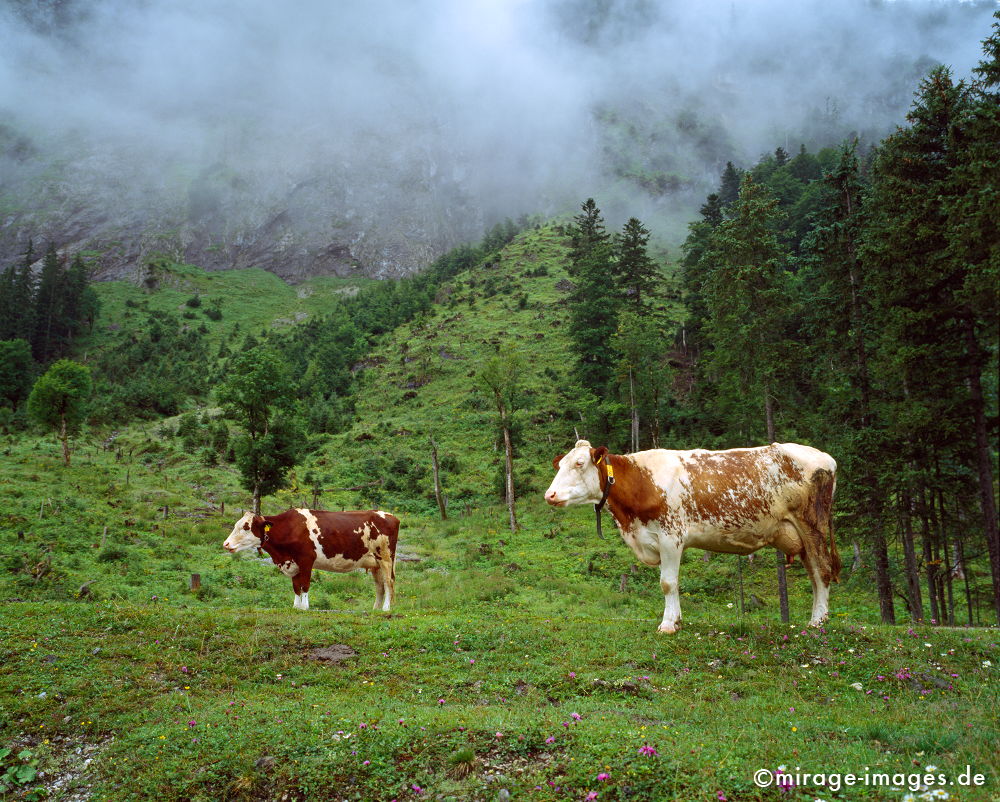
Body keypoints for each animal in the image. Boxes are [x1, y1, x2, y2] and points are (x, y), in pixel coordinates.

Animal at [222, 508, 399, 611]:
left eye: (246, 527)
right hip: (375, 563)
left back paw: (386, 608)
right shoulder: (292, 563)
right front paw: (296, 606)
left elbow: (305, 585)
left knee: (388, 582)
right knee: (379, 586)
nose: (226, 544)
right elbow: (296, 587)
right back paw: (375, 609)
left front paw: (305, 607)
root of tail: (389, 515)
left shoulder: (306, 560)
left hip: (386, 558)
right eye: (236, 525)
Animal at [544, 440, 839, 633]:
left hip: (812, 525)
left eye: (579, 463)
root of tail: (825, 456)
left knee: (822, 569)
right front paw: (675, 620)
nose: (550, 494)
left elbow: (668, 583)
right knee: (814, 574)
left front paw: (668, 624)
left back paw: (817, 622)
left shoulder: (670, 537)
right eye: (560, 465)